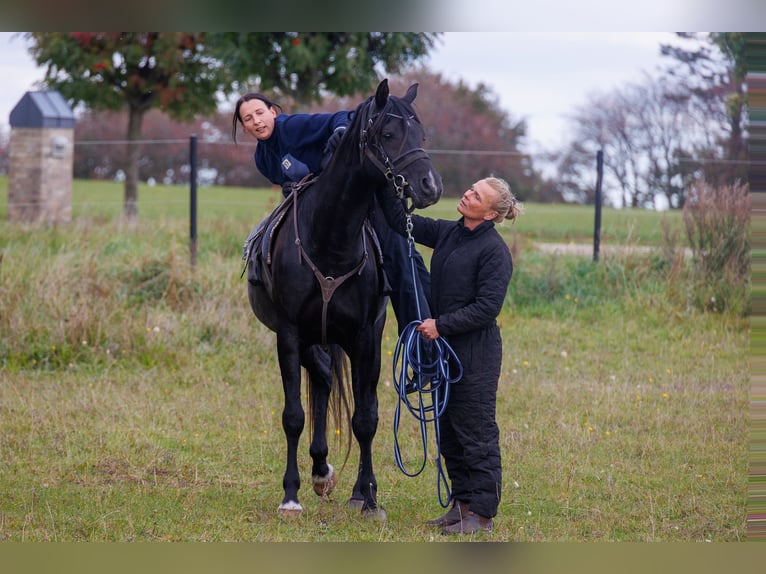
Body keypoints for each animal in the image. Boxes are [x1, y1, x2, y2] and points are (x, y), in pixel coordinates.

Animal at [246, 79, 443, 518]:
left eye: (423, 134)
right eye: (387, 134)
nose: (430, 186)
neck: (330, 240)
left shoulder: (365, 337)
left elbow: (365, 418)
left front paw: (368, 496)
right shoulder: (289, 333)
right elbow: (293, 415)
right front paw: (290, 495)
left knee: (336, 389)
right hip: (310, 338)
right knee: (320, 381)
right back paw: (319, 471)